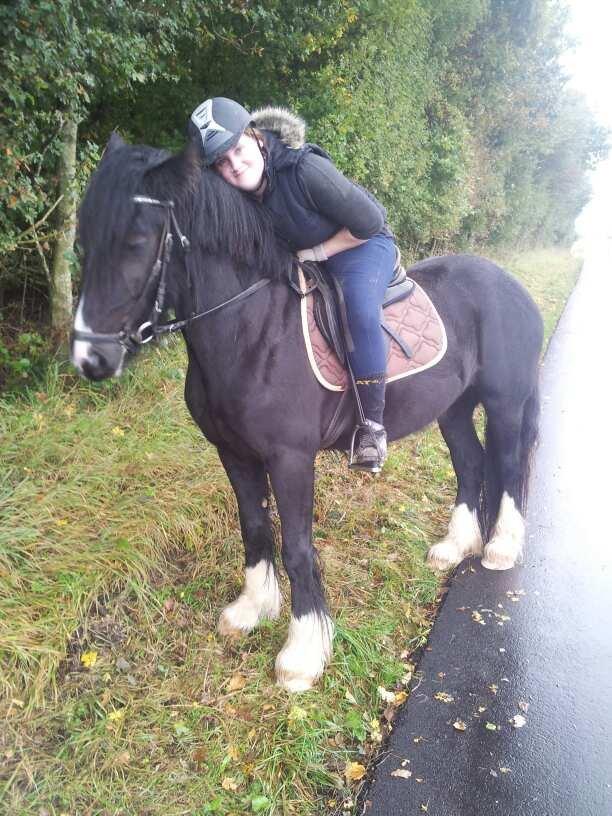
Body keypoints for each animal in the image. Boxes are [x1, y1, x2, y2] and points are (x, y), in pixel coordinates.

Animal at [71, 132, 544, 688]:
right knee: (470, 464)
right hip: (452, 408)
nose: (90, 358)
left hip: (505, 404)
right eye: (82, 241)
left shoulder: (291, 458)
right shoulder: (233, 453)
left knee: (507, 466)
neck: (253, 329)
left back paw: (500, 548)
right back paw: (454, 547)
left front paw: (302, 652)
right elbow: (255, 528)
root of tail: (511, 285)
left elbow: (297, 547)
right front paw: (252, 609)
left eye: (136, 241)